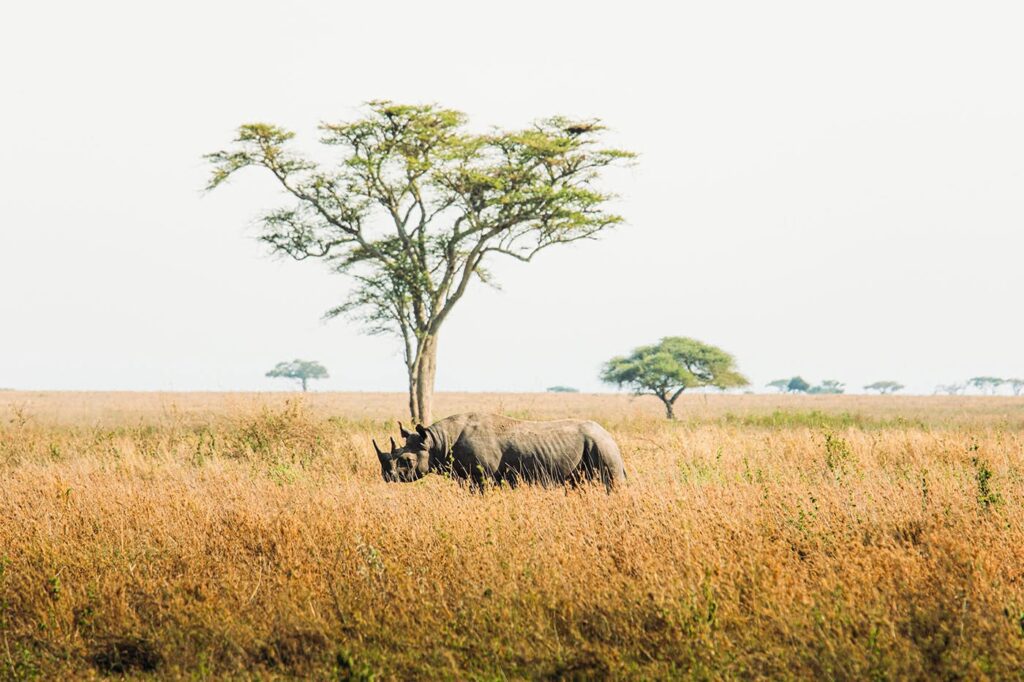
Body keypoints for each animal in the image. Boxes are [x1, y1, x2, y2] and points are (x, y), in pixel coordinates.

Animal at [373, 412, 626, 490]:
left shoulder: (482, 477)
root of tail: (609, 436)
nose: (387, 476)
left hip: (600, 446)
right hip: (596, 445)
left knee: (610, 483)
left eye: (407, 461)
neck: (436, 443)